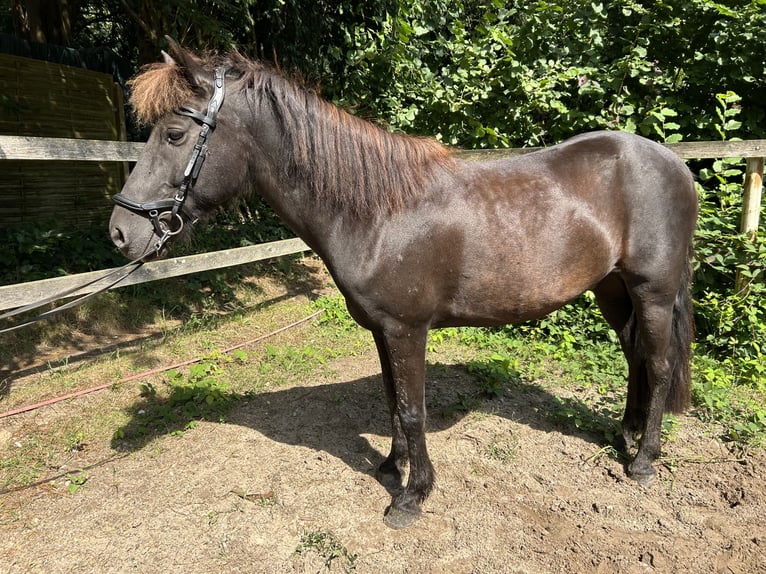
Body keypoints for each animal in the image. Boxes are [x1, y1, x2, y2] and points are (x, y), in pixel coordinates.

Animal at [109, 37, 704, 532]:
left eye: (175, 133)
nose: (120, 232)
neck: (376, 213)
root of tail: (675, 165)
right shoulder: (381, 329)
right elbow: (393, 399)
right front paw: (390, 466)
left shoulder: (407, 329)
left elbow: (414, 408)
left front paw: (411, 496)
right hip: (612, 289)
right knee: (635, 357)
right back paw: (623, 437)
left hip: (652, 291)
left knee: (658, 363)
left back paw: (643, 461)